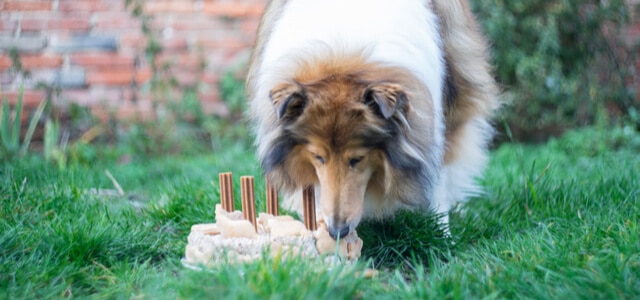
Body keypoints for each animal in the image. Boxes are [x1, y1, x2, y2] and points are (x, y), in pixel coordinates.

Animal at [245, 0, 500, 239]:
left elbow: (437, 178)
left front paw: (443, 236)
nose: (337, 231)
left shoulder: (437, 121)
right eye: (318, 157)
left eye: (358, 159)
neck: (344, 45)